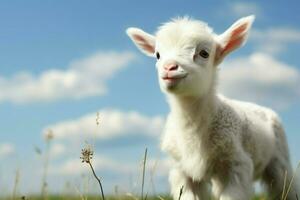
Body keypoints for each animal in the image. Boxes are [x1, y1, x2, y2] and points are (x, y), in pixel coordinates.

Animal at [126, 16, 298, 200]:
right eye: (158, 55)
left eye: (204, 53)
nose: (169, 67)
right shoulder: (181, 171)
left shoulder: (236, 165)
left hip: (280, 162)